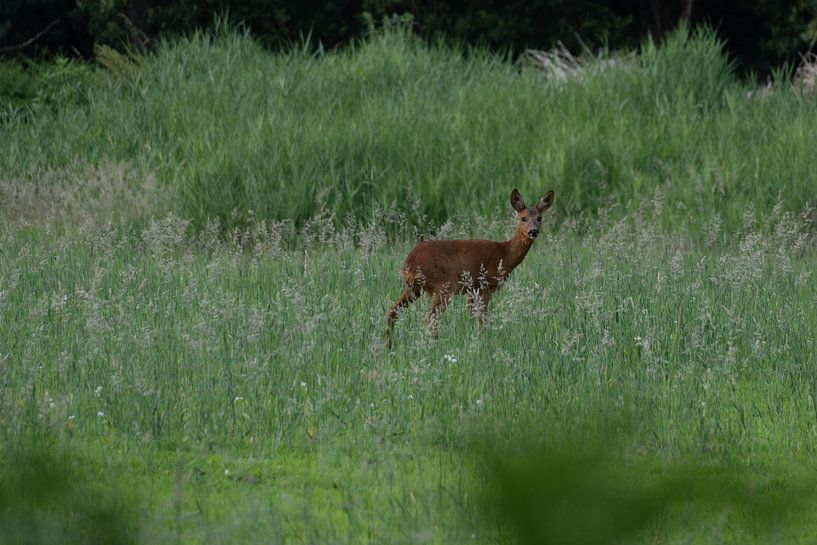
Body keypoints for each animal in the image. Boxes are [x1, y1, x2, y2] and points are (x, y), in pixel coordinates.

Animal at [384, 187, 556, 348]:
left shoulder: (471, 289)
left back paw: (389, 347)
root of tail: (409, 262)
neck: (505, 254)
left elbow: (472, 317)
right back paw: (436, 345)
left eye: (540, 218)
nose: (533, 231)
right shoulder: (485, 284)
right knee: (431, 317)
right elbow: (482, 319)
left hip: (413, 288)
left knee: (392, 312)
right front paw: (482, 341)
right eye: (523, 218)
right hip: (444, 285)